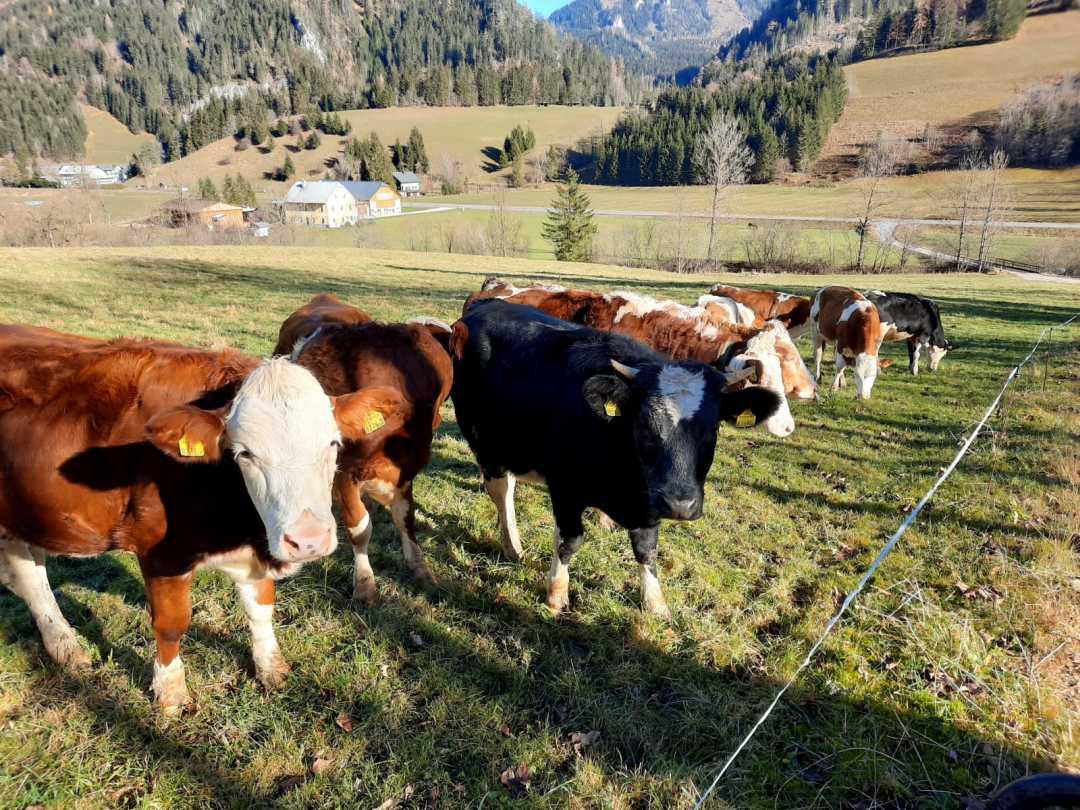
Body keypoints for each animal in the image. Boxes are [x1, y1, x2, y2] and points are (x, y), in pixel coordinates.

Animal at [0, 326, 399, 712]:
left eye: (333, 443)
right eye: (244, 453)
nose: (309, 541)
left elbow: (261, 607)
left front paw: (271, 668)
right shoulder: (161, 553)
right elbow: (172, 624)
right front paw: (170, 693)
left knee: (30, 574)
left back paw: (64, 647)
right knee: (29, 579)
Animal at [274, 295, 455, 604]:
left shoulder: (406, 468)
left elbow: (405, 518)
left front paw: (421, 569)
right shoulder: (345, 474)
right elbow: (360, 528)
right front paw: (365, 584)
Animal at [442, 302, 781, 617]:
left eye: (713, 428)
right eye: (643, 424)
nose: (680, 506)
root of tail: (484, 307)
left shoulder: (648, 503)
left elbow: (647, 549)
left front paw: (656, 603)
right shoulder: (565, 487)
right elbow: (569, 541)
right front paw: (556, 593)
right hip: (487, 443)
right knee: (501, 492)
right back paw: (513, 546)